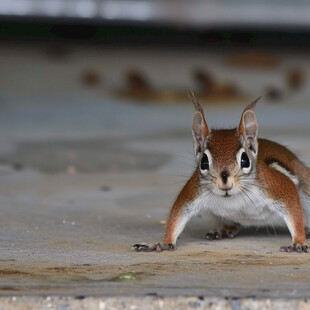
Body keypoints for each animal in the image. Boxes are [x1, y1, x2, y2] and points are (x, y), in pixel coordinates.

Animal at [133, 95, 310, 254]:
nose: (225, 183)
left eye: (245, 160)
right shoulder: (193, 191)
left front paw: (299, 242)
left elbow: (293, 208)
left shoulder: (275, 185)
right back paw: (224, 229)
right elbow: (177, 215)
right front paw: (162, 243)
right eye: (204, 162)